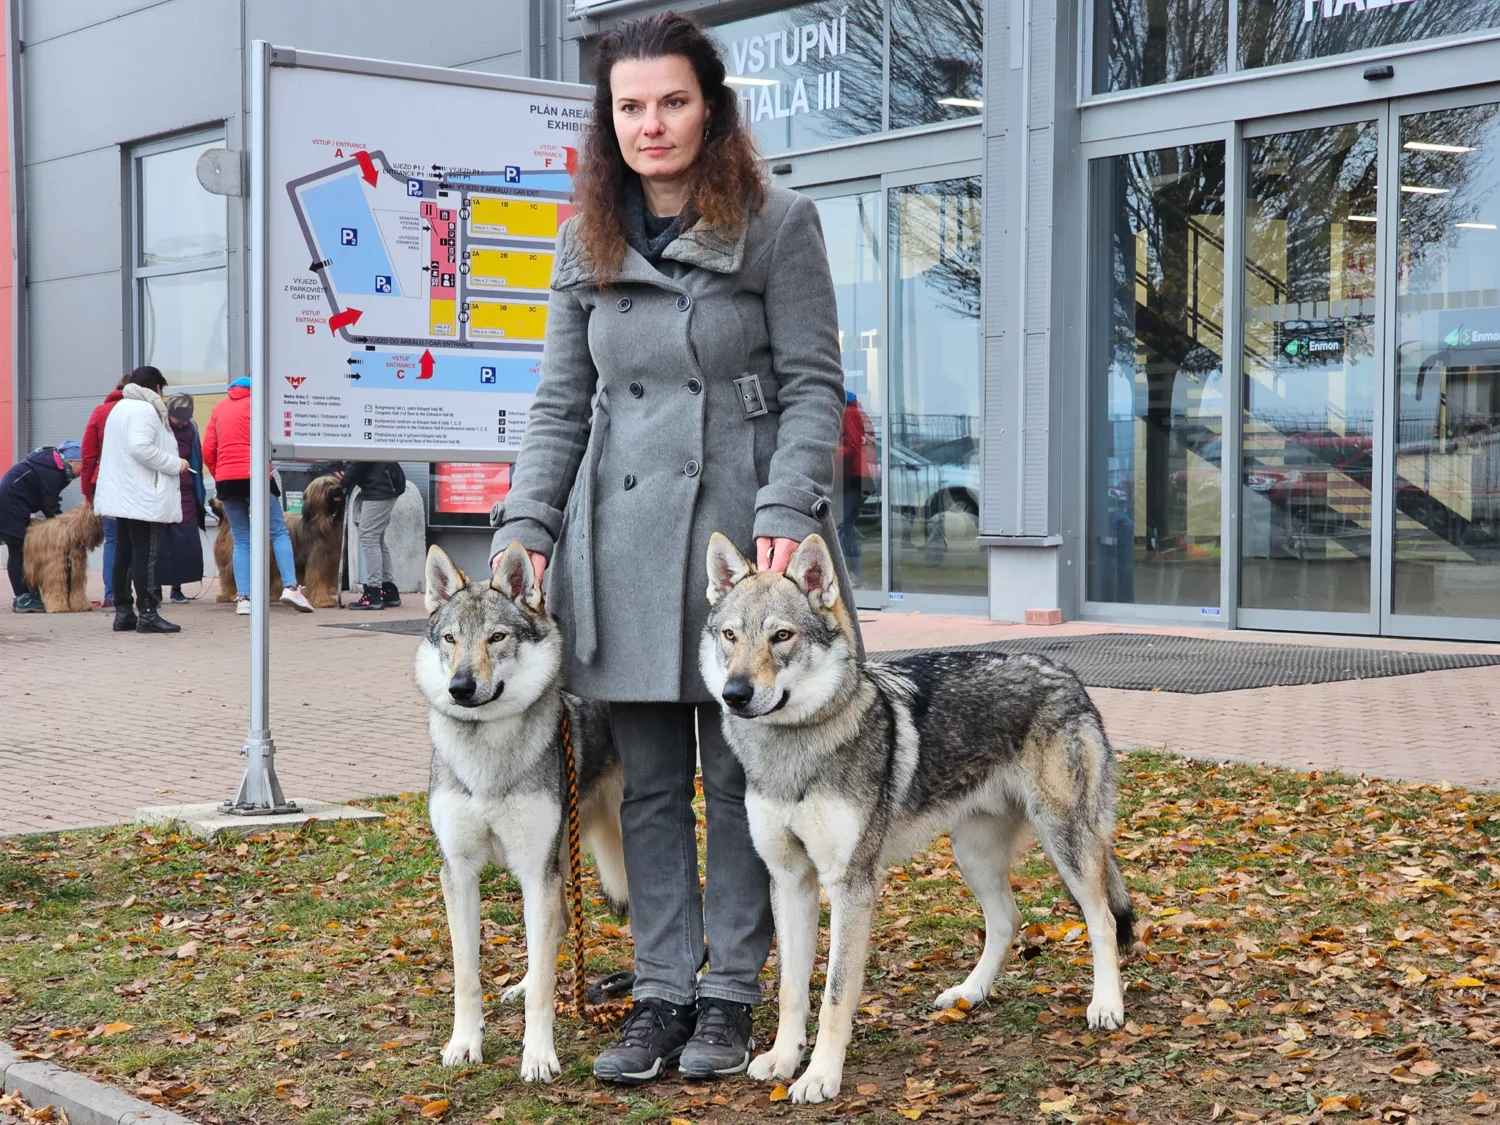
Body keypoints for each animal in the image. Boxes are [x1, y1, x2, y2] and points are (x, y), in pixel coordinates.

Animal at [210, 474, 346, 609]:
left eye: (336, 482)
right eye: (326, 484)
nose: (339, 489)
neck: (323, 523)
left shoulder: (330, 562)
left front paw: (327, 599)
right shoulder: (317, 560)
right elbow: (317, 579)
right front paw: (323, 601)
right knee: (230, 578)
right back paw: (230, 596)